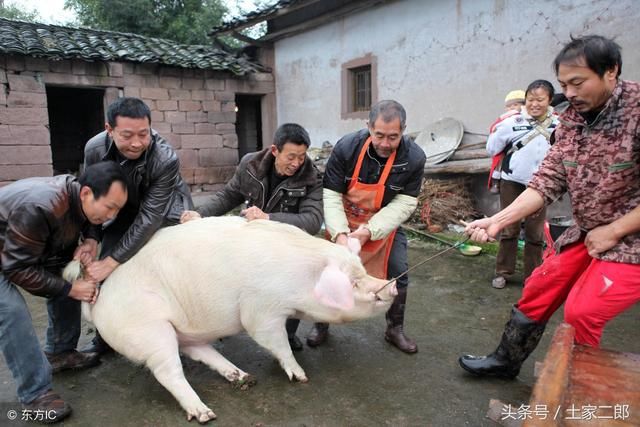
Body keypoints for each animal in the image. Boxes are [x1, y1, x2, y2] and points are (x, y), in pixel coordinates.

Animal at [65, 217, 396, 424]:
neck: (301, 279)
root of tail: (99, 303)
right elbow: (275, 342)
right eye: (353, 282)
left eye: (362, 270)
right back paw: (205, 414)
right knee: (169, 372)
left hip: (181, 330)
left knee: (200, 350)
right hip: (150, 331)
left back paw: (244, 378)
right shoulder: (261, 309)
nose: (390, 284)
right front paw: (301, 377)